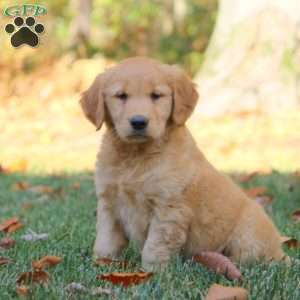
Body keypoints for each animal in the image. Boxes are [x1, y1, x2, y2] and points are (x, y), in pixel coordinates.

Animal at [79, 57, 286, 270]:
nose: (138, 122)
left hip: (248, 235)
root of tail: (281, 253)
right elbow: (106, 242)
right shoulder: (109, 203)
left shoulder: (169, 209)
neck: (136, 155)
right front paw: (102, 264)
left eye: (156, 95)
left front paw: (152, 272)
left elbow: (155, 247)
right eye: (121, 95)